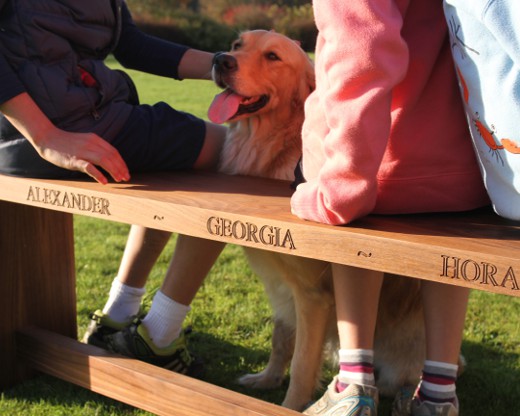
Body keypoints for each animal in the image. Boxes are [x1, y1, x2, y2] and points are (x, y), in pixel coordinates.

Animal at [208, 30, 426, 412]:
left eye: (273, 56)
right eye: (237, 45)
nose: (220, 59)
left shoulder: (313, 295)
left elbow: (301, 362)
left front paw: (288, 406)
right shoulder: (284, 290)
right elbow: (282, 337)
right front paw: (267, 379)